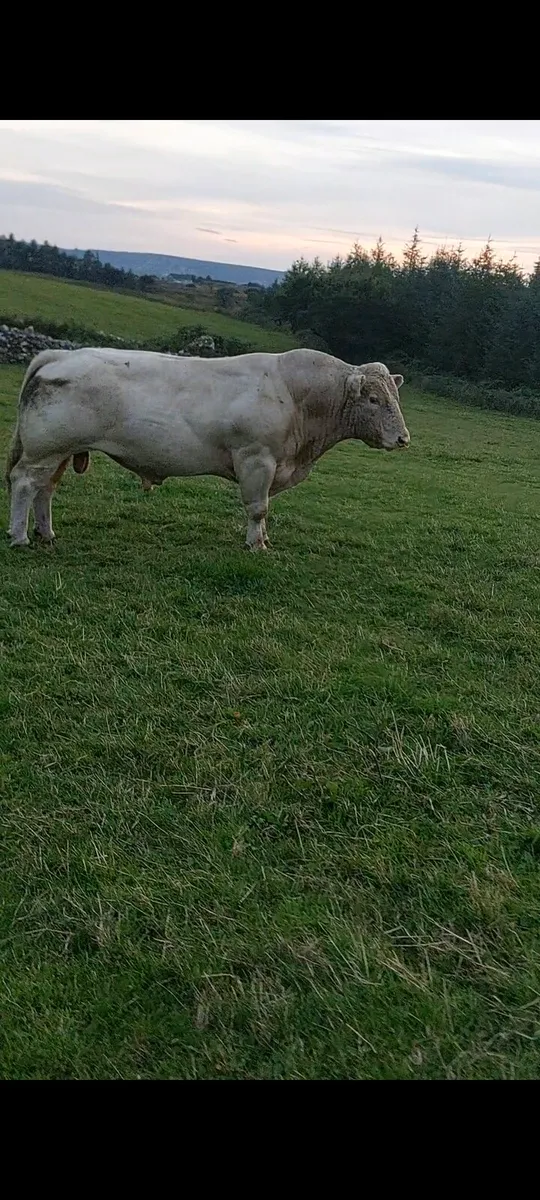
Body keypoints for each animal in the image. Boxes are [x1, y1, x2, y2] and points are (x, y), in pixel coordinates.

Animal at [5, 347, 410, 552]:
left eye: (394, 396)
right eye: (374, 399)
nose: (403, 439)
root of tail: (60, 353)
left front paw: (263, 539)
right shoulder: (256, 459)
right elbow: (259, 508)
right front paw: (256, 545)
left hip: (59, 451)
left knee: (45, 490)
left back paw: (46, 533)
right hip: (45, 449)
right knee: (24, 484)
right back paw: (19, 536)